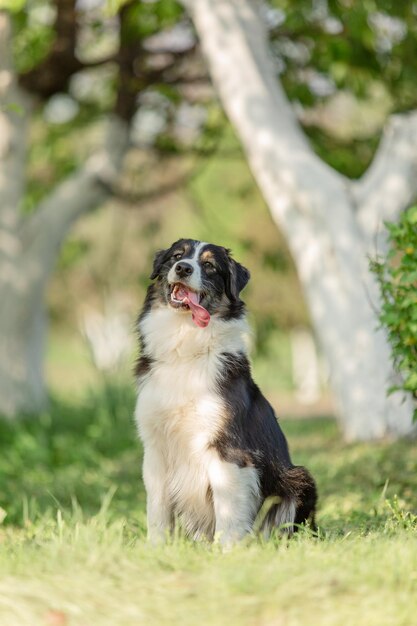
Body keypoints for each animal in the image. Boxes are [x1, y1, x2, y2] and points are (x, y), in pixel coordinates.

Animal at [135, 238, 316, 540]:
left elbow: (229, 512)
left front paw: (227, 548)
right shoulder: (155, 448)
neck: (186, 347)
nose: (183, 268)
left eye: (209, 265)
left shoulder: (228, 449)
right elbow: (157, 512)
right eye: (176, 256)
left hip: (299, 478)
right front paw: (156, 546)